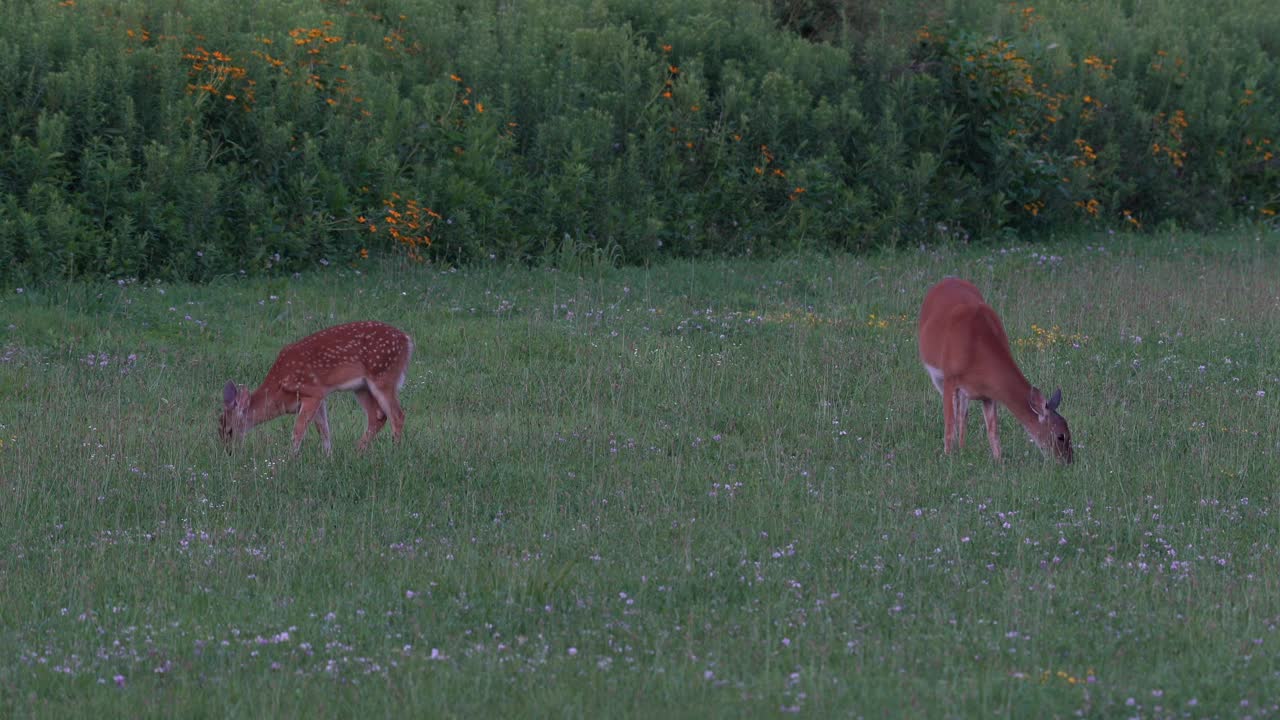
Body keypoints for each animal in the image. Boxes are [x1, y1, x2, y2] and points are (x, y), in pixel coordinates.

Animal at [220, 320, 414, 450]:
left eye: (229, 430)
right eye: (219, 429)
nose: (228, 452)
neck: (279, 392)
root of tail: (407, 340)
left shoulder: (312, 392)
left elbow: (298, 431)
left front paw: (289, 461)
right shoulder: (320, 397)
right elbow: (324, 430)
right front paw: (328, 458)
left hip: (384, 377)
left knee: (397, 415)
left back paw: (393, 452)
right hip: (361, 387)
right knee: (378, 416)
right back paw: (358, 452)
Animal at [921, 278, 1070, 461]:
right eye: (1061, 436)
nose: (1068, 461)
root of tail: (948, 279)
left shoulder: (989, 394)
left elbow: (993, 431)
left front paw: (998, 461)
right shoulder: (950, 378)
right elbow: (949, 424)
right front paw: (948, 456)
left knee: (963, 414)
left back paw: (962, 449)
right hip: (938, 377)